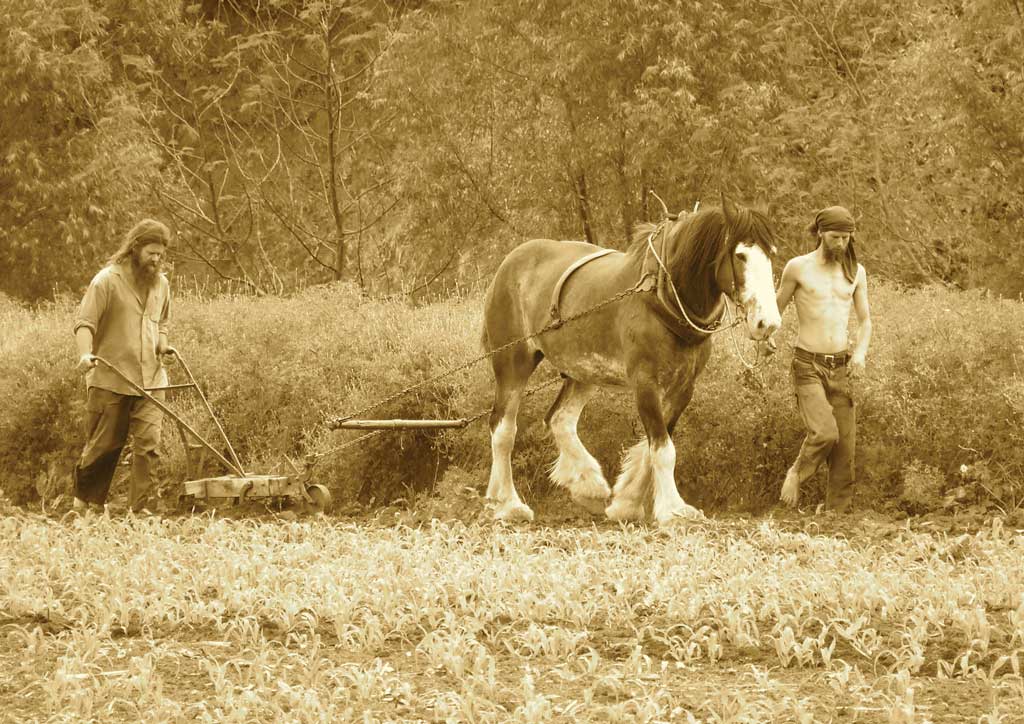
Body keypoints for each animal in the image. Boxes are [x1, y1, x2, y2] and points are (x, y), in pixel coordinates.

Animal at [477, 198, 774, 528]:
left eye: (772, 254)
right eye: (740, 255)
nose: (768, 323)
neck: (661, 293)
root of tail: (510, 261)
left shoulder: (684, 387)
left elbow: (653, 445)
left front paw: (628, 503)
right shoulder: (644, 382)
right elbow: (663, 449)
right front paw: (673, 509)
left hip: (582, 370)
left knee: (559, 419)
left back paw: (585, 487)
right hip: (512, 362)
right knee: (503, 429)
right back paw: (509, 504)